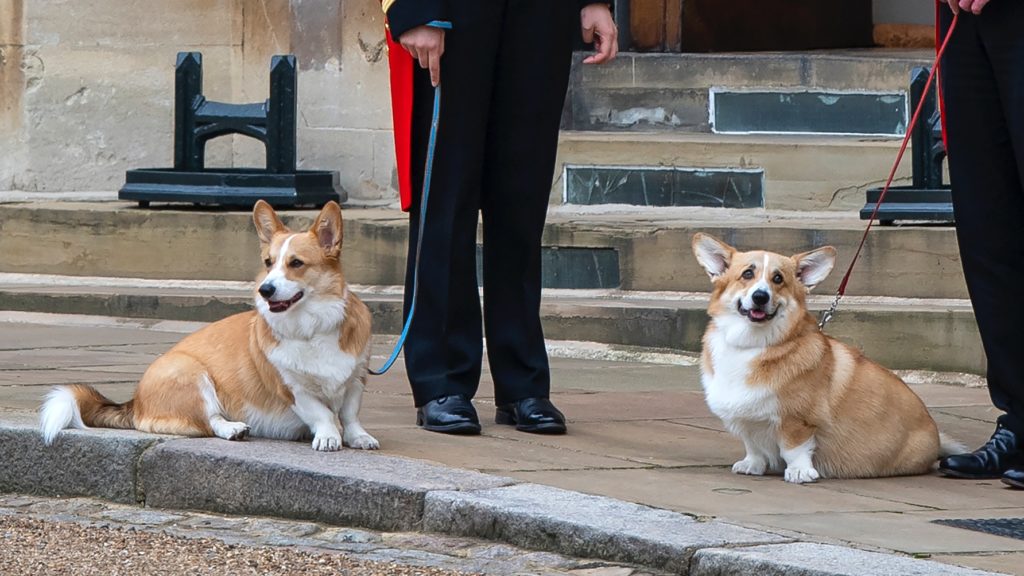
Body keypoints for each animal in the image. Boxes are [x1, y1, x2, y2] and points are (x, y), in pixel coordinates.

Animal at [40, 199, 380, 450]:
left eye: (296, 263)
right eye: (268, 263)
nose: (265, 289)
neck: (311, 328)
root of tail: (135, 402)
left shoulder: (356, 380)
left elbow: (349, 414)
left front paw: (358, 437)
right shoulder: (292, 388)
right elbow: (321, 413)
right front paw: (329, 437)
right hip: (194, 376)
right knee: (209, 420)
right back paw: (233, 429)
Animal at [688, 231, 958, 479]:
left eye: (778, 278)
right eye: (747, 274)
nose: (760, 296)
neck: (752, 344)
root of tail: (936, 436)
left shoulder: (797, 420)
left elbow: (794, 449)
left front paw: (799, 472)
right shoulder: (747, 422)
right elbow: (754, 446)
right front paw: (752, 465)